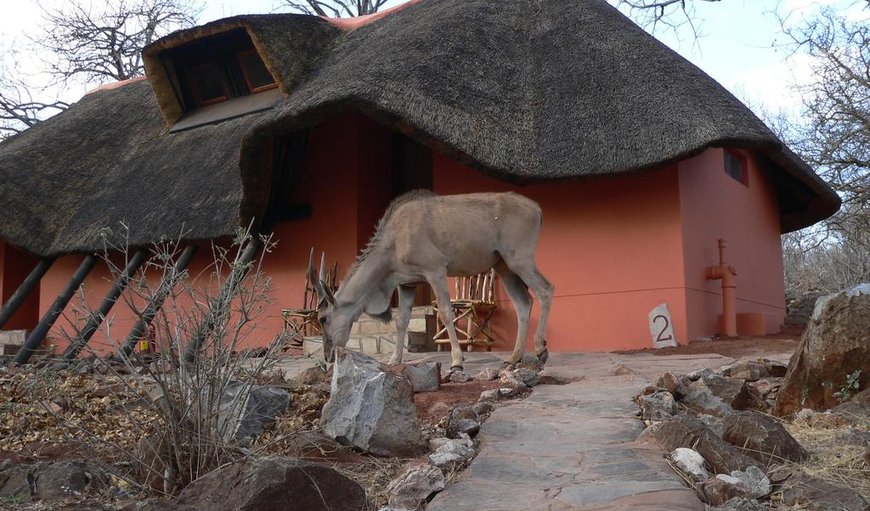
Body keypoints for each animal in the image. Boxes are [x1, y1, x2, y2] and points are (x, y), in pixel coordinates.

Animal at [308, 190, 552, 370]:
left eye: (323, 318)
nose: (328, 357)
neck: (394, 239)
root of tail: (537, 208)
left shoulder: (435, 270)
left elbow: (445, 313)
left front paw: (457, 360)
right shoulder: (407, 284)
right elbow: (402, 320)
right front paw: (394, 359)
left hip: (519, 260)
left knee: (545, 290)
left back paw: (540, 349)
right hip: (503, 266)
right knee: (523, 302)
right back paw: (514, 357)